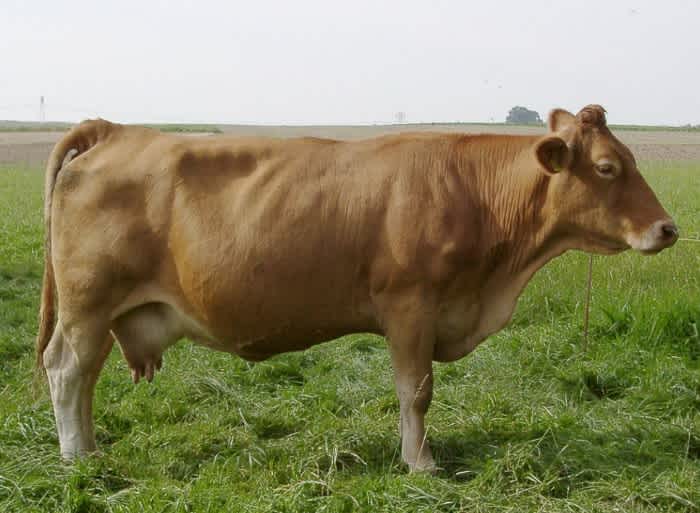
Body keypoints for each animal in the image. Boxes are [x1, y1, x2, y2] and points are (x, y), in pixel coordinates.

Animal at [37, 105, 680, 472]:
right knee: (67, 370)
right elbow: (416, 392)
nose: (668, 228)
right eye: (607, 168)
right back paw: (77, 458)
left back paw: (89, 448)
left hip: (104, 310)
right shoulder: (411, 306)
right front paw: (420, 464)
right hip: (87, 304)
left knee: (82, 377)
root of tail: (116, 130)